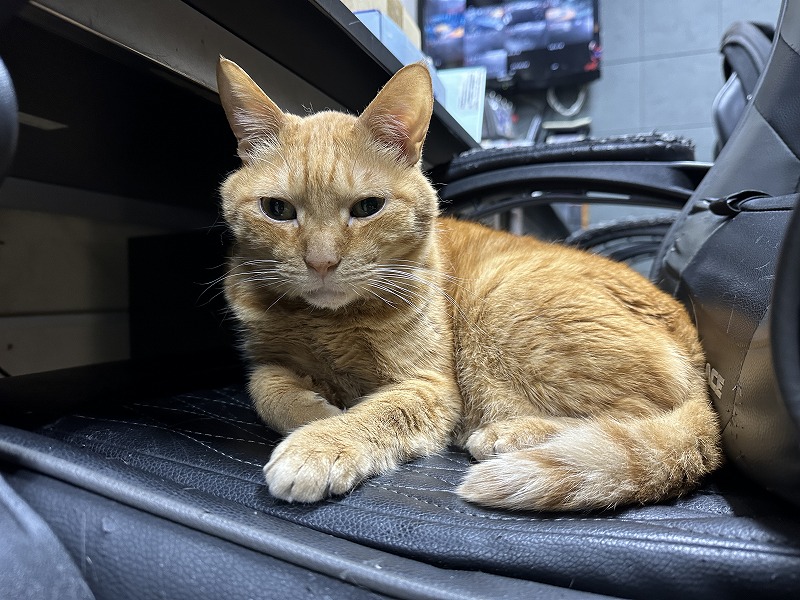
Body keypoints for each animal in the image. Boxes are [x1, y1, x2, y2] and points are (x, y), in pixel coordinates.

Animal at [215, 57, 722, 512]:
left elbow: (374, 414)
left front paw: (319, 441)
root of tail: (702, 373)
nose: (322, 262)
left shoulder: (430, 388)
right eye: (278, 210)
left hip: (501, 302)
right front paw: (316, 409)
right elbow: (265, 386)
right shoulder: (266, 356)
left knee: (637, 415)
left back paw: (511, 434)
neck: (327, 323)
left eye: (367, 207)